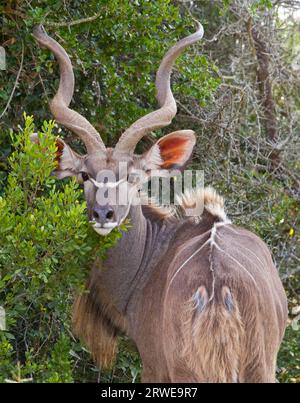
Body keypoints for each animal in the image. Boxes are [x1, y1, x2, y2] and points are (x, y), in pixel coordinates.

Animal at [32, 23, 288, 384]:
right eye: (84, 175)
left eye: (132, 177)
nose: (103, 214)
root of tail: (218, 290)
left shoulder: (153, 364)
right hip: (261, 368)